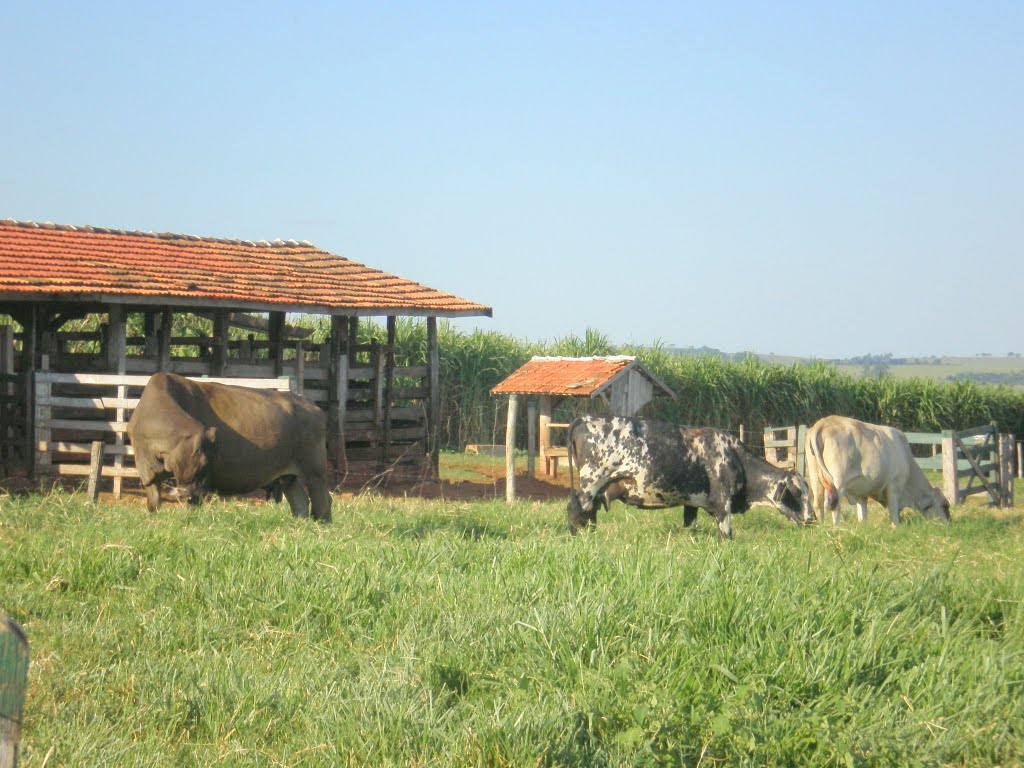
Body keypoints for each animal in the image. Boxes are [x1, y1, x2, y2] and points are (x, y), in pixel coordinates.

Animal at [125, 374, 329, 524]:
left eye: (206, 464)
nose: (191, 493)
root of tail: (313, 407)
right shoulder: (147, 473)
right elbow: (153, 502)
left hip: (315, 472)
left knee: (322, 501)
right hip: (289, 477)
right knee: (299, 501)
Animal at [565, 417, 811, 536]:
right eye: (798, 494)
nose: (812, 519)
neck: (736, 456)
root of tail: (587, 418)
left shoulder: (691, 504)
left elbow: (690, 525)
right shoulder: (722, 503)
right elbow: (727, 534)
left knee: (588, 513)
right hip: (590, 484)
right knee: (575, 510)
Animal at [806, 415, 950, 528]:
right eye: (945, 506)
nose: (949, 524)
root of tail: (823, 422)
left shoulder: (861, 492)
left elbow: (862, 513)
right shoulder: (893, 487)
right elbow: (893, 511)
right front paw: (895, 527)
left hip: (815, 478)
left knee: (818, 505)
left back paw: (822, 527)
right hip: (838, 482)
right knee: (835, 506)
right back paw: (837, 528)